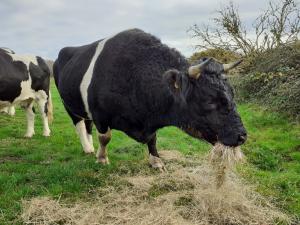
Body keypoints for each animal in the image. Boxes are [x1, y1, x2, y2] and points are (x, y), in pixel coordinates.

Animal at [53, 28, 246, 169]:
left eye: (232, 93)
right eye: (210, 101)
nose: (242, 136)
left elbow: (153, 139)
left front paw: (156, 161)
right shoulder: (100, 115)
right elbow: (105, 137)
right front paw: (102, 158)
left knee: (87, 125)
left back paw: (90, 146)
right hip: (68, 105)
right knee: (79, 125)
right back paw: (87, 148)